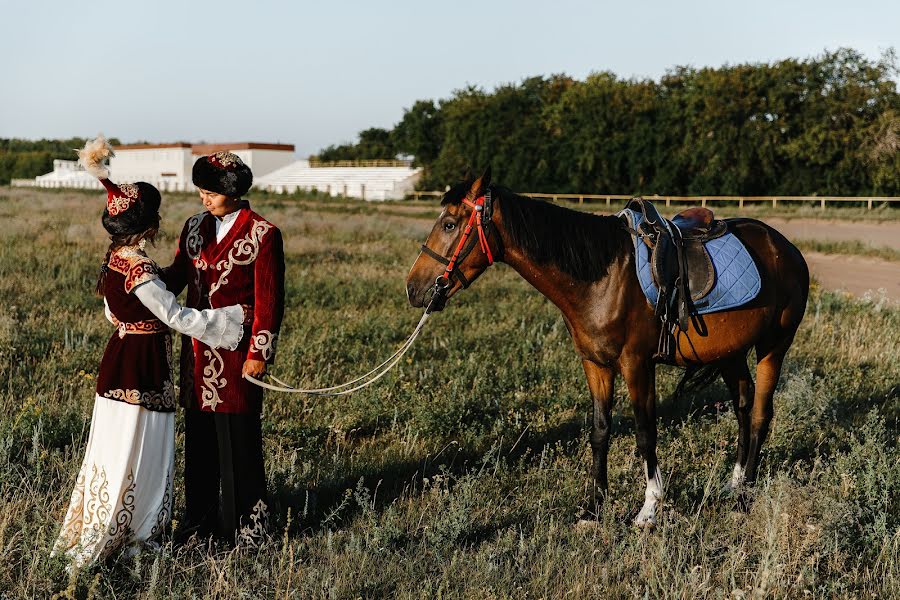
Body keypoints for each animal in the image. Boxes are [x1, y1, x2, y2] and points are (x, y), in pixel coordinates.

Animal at [404, 169, 812, 524]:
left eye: (449, 224)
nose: (413, 288)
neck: (602, 277)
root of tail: (787, 248)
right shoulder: (595, 364)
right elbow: (600, 432)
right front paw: (593, 509)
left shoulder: (637, 365)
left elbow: (645, 434)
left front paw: (649, 509)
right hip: (730, 352)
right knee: (743, 404)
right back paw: (734, 484)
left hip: (774, 345)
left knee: (760, 414)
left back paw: (745, 497)